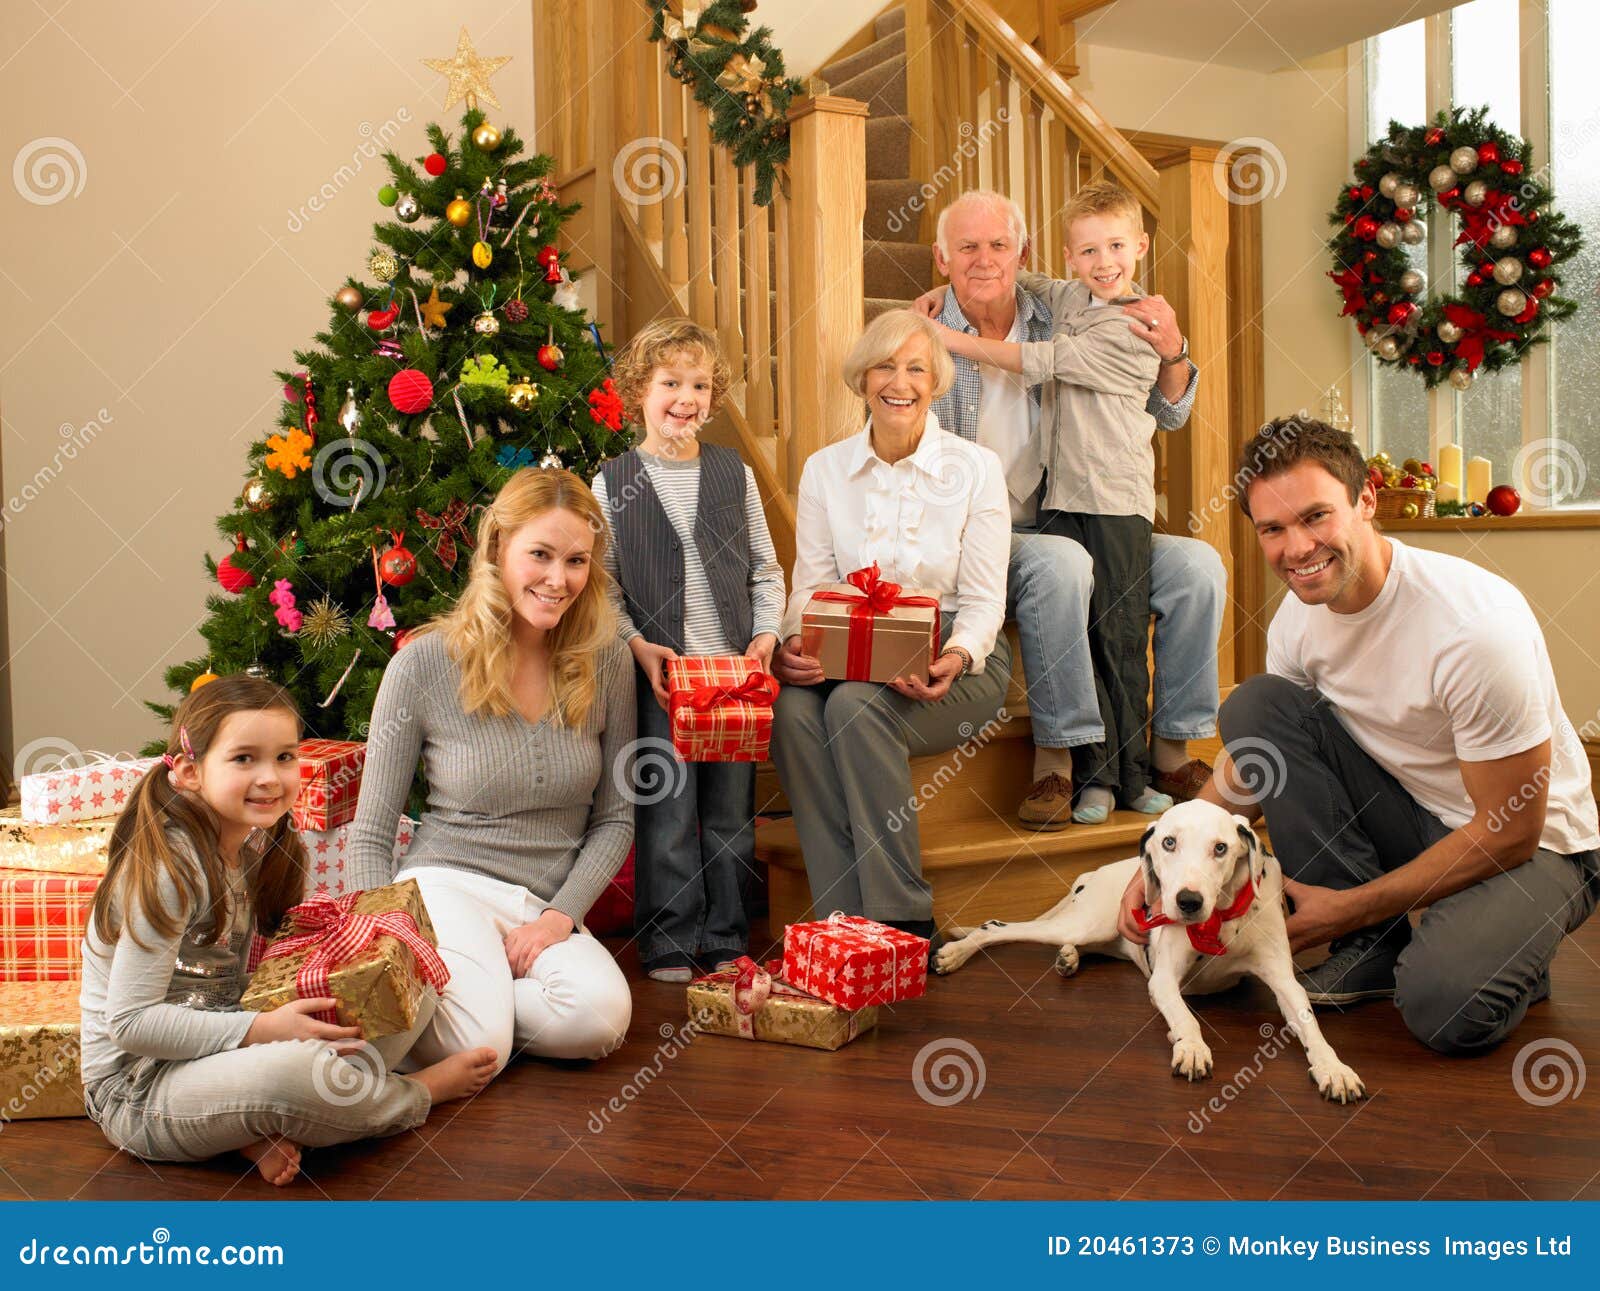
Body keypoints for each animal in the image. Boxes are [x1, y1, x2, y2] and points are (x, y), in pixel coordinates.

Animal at [934, 796, 1363, 1100]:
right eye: (1169, 842)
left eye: (1221, 848)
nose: (1187, 901)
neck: (1219, 921)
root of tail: (1093, 873)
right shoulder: (1164, 980)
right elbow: (1185, 1016)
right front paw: (1191, 1045)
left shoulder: (1284, 981)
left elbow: (1309, 1022)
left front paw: (1334, 1068)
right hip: (1084, 922)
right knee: (995, 927)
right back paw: (955, 953)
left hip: (1100, 934)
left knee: (1077, 945)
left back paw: (1069, 957)